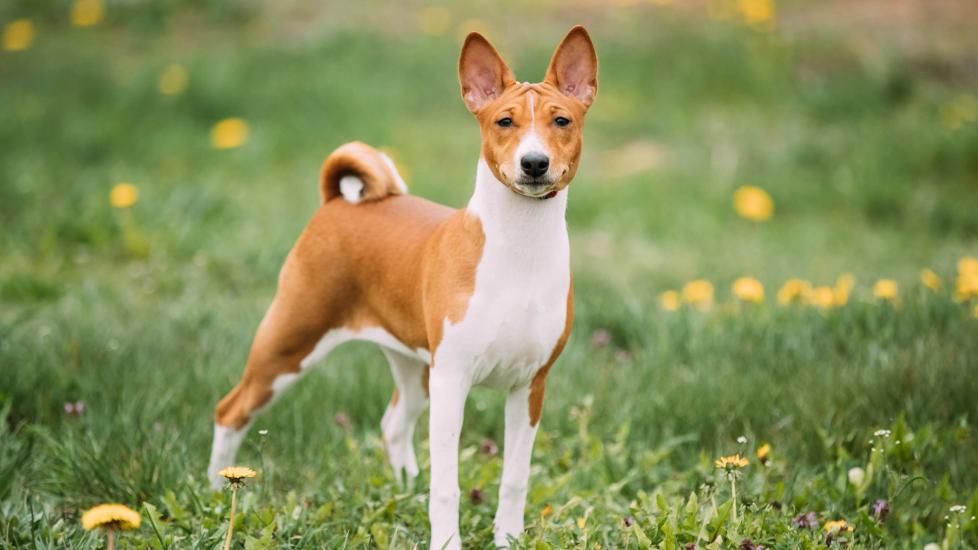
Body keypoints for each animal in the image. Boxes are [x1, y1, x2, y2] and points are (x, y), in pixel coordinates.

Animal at [208, 24, 596, 548]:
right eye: (504, 122)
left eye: (561, 120)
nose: (533, 163)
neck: (519, 252)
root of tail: (339, 202)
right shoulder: (453, 380)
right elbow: (447, 486)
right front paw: (446, 542)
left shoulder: (529, 385)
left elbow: (515, 478)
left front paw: (508, 540)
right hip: (289, 343)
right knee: (231, 410)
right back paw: (215, 492)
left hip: (413, 366)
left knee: (393, 423)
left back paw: (406, 487)